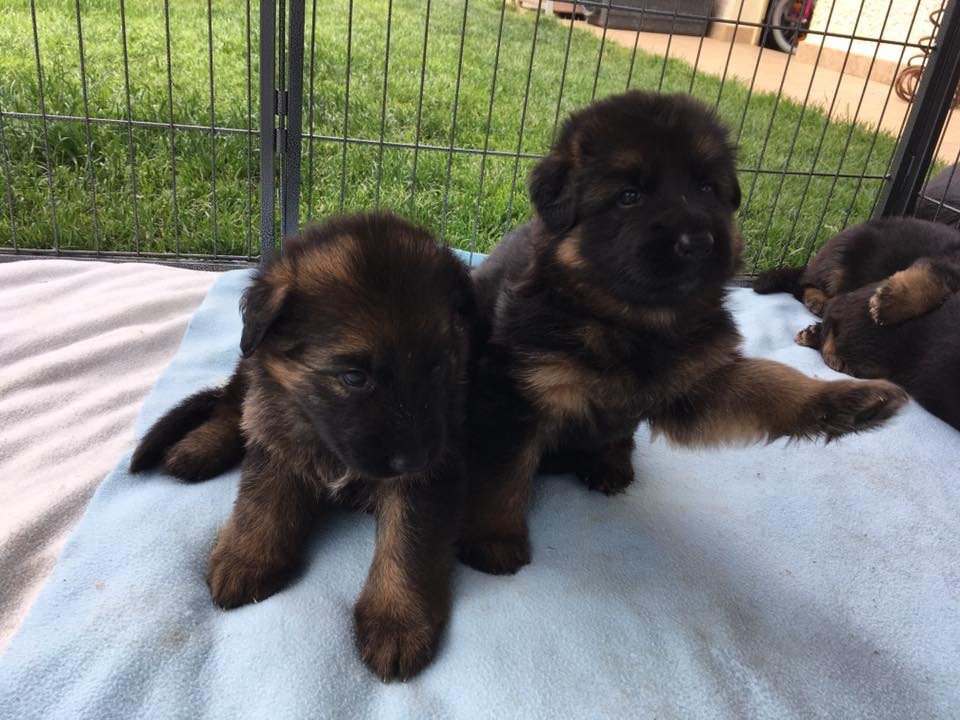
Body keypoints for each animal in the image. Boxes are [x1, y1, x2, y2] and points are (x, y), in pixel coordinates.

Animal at [130, 213, 475, 681]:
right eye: (354, 377)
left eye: (438, 366)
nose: (414, 459)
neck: (325, 440)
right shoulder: (278, 434)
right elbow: (262, 501)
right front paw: (247, 557)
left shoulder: (433, 473)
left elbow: (408, 543)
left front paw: (397, 621)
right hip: (249, 373)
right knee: (230, 405)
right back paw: (198, 447)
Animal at [458, 91, 908, 576]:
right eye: (629, 196)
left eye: (707, 189)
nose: (698, 242)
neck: (633, 323)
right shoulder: (517, 395)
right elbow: (503, 475)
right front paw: (495, 540)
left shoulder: (699, 382)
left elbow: (774, 386)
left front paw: (854, 402)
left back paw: (611, 460)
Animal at [753, 217, 960, 325]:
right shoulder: (944, 262)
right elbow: (931, 281)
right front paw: (888, 305)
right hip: (841, 257)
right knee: (801, 284)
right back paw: (818, 300)